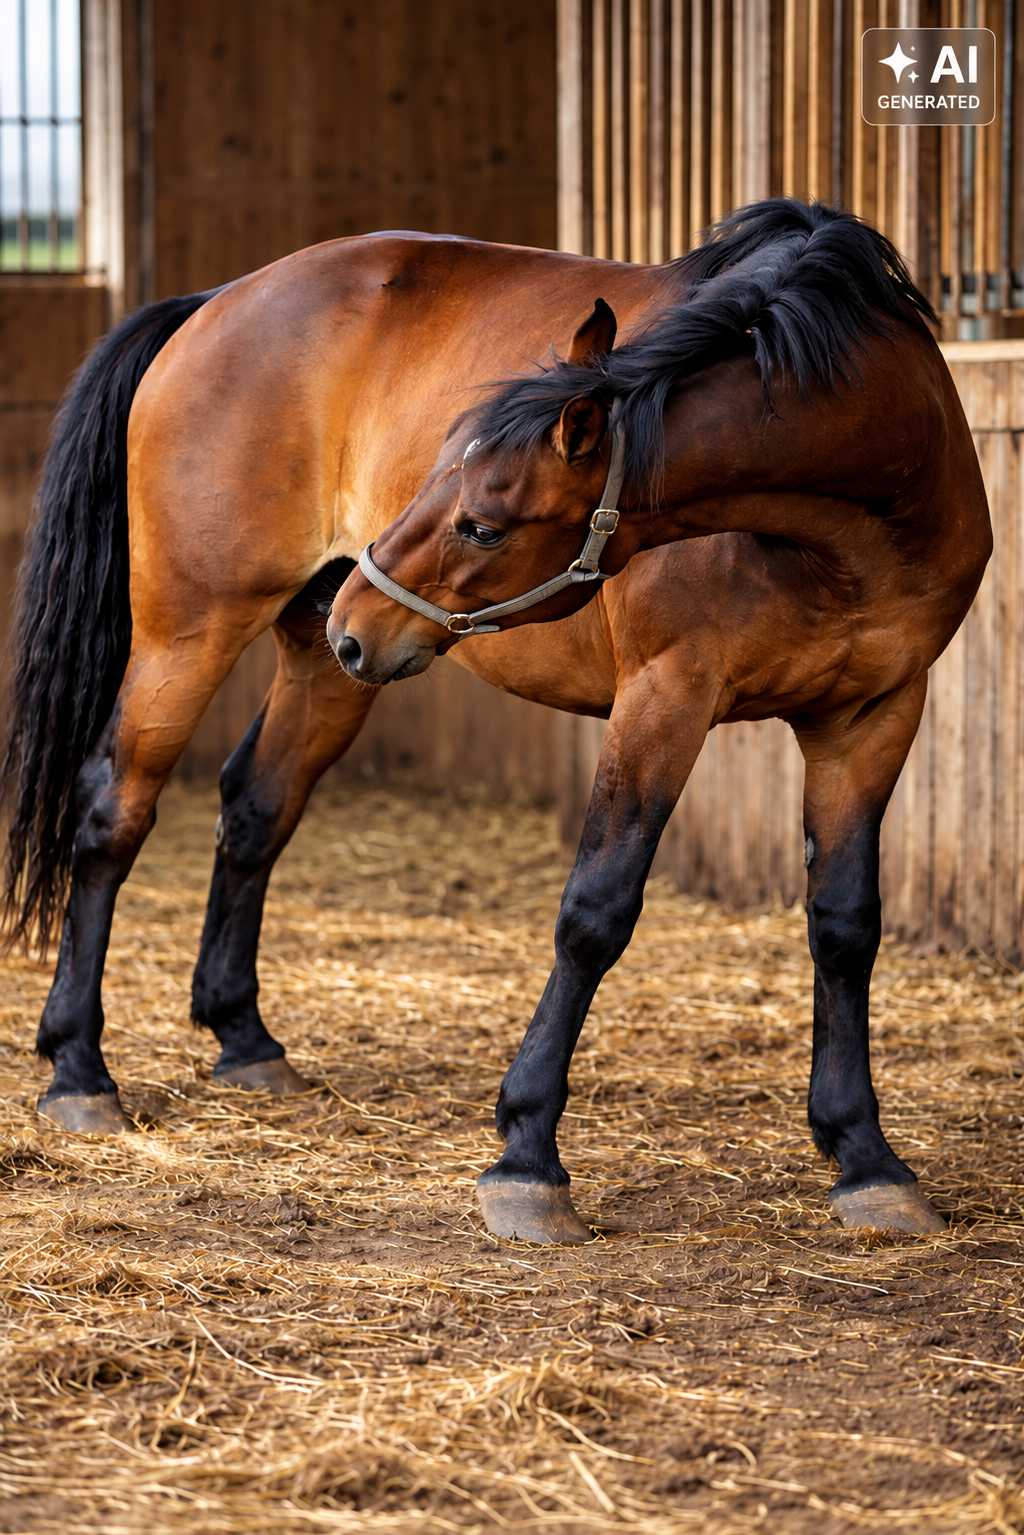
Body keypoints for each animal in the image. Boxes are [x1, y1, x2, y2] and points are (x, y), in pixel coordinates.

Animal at [1, 200, 990, 1244]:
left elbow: (844, 926)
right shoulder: (666, 696)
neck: (856, 522)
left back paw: (244, 1039)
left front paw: (866, 1156)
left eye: (482, 521)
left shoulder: (873, 716)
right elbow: (594, 912)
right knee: (113, 809)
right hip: (192, 632)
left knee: (256, 806)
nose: (362, 611)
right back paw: (78, 1070)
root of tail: (213, 302)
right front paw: (526, 1153)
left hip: (326, 664)